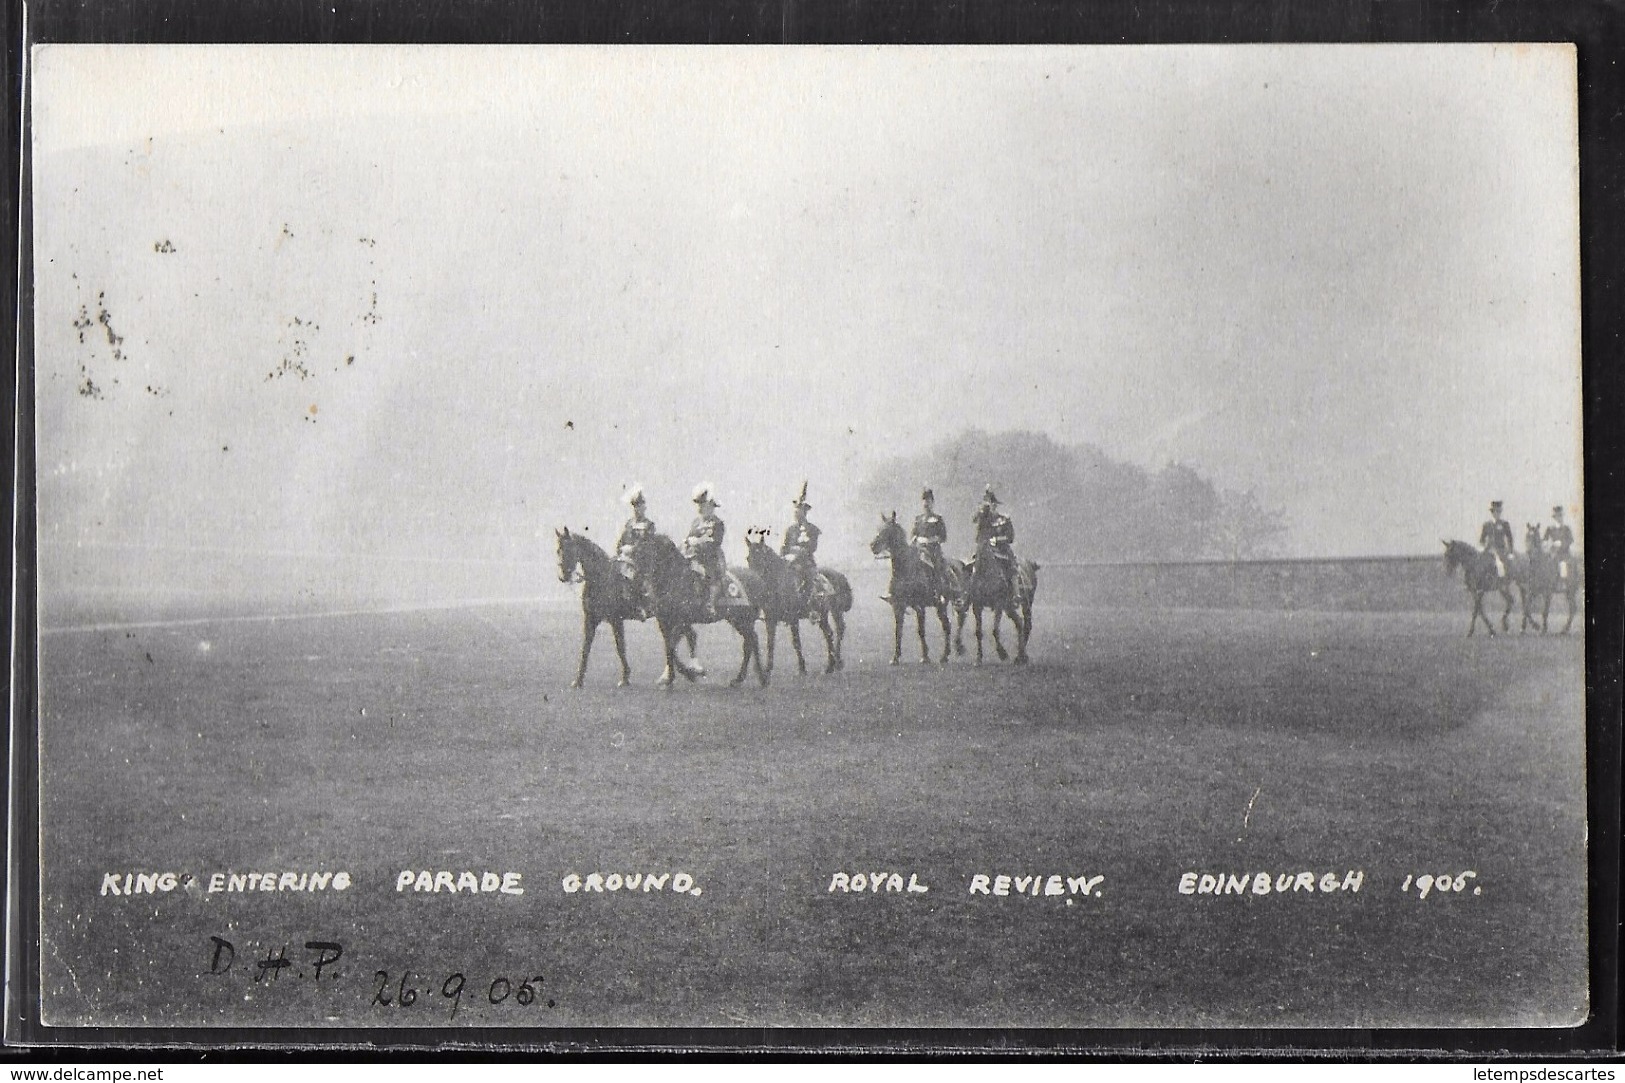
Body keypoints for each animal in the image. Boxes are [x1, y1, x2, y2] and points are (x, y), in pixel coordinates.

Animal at [555, 526, 695, 686]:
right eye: (558, 550)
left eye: (569, 549)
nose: (563, 576)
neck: (602, 579)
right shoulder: (590, 619)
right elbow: (585, 648)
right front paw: (578, 680)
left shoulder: (616, 620)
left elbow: (620, 647)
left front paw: (625, 677)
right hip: (667, 617)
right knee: (675, 639)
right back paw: (676, 674)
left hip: (668, 616)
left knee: (677, 639)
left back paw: (684, 672)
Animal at [627, 530, 767, 682]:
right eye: (636, 551)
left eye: (645, 551)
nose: (636, 579)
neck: (675, 580)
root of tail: (757, 577)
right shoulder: (664, 622)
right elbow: (669, 647)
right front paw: (672, 676)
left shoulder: (681, 622)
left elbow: (672, 645)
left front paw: (688, 673)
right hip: (736, 620)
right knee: (750, 641)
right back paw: (744, 679)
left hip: (744, 620)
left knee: (751, 641)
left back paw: (758, 678)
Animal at [744, 523, 858, 669]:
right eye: (748, 558)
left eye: (762, 557)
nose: (753, 579)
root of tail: (838, 575)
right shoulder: (770, 620)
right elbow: (770, 643)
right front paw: (768, 669)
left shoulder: (793, 618)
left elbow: (796, 642)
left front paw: (802, 668)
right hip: (823, 614)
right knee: (829, 632)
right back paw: (831, 665)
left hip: (834, 611)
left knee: (838, 630)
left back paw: (836, 662)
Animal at [871, 510, 955, 663]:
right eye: (879, 529)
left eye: (887, 530)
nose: (873, 546)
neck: (905, 569)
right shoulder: (898, 606)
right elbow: (898, 631)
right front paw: (895, 657)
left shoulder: (919, 605)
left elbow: (921, 630)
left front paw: (925, 656)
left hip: (941, 605)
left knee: (947, 626)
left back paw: (944, 656)